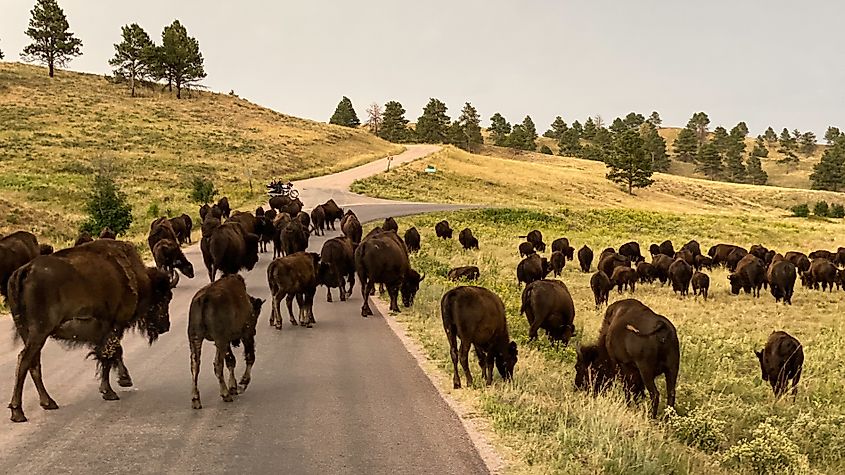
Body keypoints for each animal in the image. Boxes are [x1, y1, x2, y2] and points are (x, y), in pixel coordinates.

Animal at [6, 242, 175, 424]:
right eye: (164, 298)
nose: (165, 326)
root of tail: (25, 270)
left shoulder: (105, 332)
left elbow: (113, 354)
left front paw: (124, 380)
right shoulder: (115, 326)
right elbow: (109, 355)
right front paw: (110, 391)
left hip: (28, 334)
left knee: (34, 364)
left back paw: (48, 403)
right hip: (39, 333)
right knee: (24, 361)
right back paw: (18, 413)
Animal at [188, 274, 264, 410]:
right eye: (257, 313)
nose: (255, 331)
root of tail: (204, 298)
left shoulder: (227, 340)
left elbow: (231, 361)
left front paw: (233, 386)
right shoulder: (246, 334)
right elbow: (250, 357)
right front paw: (242, 383)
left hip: (195, 338)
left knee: (195, 365)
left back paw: (196, 400)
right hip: (220, 340)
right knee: (217, 364)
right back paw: (225, 394)